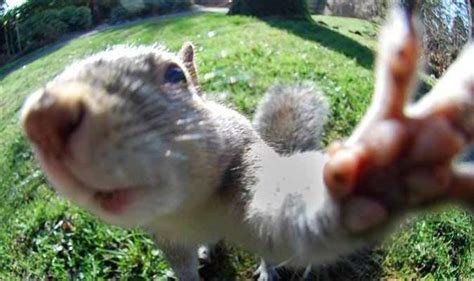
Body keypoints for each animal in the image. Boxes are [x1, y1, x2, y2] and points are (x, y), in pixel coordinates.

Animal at [20, 6, 472, 280]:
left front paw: (382, 170)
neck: (188, 208)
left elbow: (289, 223)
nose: (45, 118)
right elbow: (182, 267)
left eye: (174, 75)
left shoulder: (248, 184)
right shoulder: (167, 238)